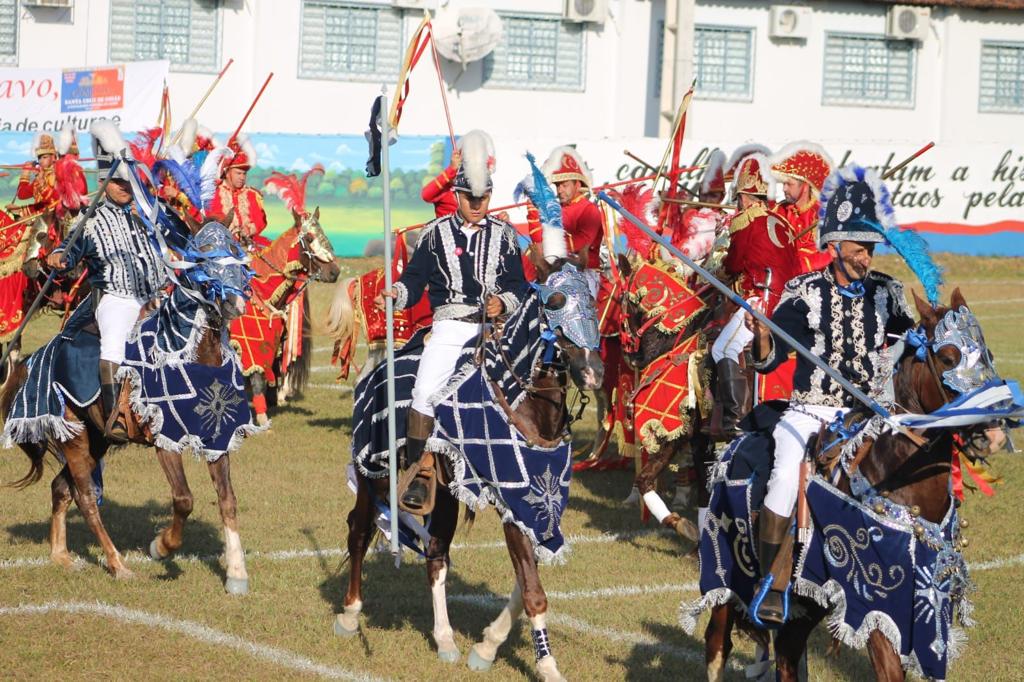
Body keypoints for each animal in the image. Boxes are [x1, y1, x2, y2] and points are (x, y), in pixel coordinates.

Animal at [1, 219, 256, 589]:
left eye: (239, 259)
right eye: (205, 261)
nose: (234, 304)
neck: (189, 352)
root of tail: (38, 358)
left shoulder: (217, 438)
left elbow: (227, 500)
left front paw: (236, 573)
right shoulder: (165, 441)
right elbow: (184, 500)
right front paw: (161, 546)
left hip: (96, 440)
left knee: (61, 488)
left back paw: (61, 556)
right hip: (75, 438)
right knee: (86, 497)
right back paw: (117, 563)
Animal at [228, 204, 339, 421]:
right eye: (310, 238)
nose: (335, 272)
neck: (263, 291)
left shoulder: (270, 345)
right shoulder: (249, 346)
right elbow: (256, 378)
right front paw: (262, 418)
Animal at [339, 260, 602, 679]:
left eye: (594, 300)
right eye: (556, 303)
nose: (593, 372)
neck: (528, 406)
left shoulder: (535, 507)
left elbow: (523, 583)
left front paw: (487, 646)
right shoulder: (511, 501)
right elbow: (533, 591)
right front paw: (547, 666)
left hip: (445, 495)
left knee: (435, 557)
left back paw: (445, 640)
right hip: (373, 476)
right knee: (359, 533)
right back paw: (349, 615)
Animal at [688, 288, 1007, 679]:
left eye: (988, 355)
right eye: (948, 357)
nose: (993, 433)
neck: (894, 474)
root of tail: (733, 444)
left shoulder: (927, 606)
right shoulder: (876, 606)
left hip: (808, 599)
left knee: (787, 652)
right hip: (730, 576)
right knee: (718, 642)